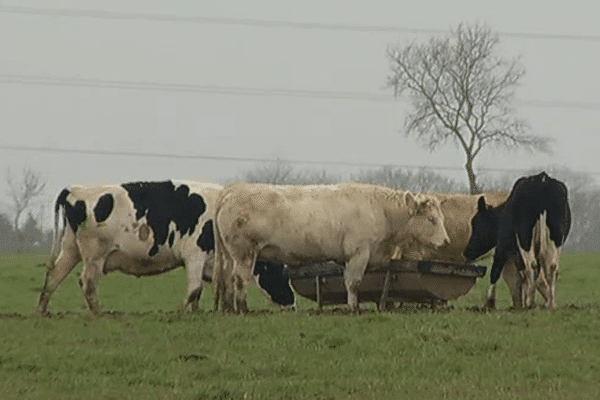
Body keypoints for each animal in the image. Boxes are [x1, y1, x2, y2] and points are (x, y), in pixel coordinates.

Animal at [37, 181, 296, 316]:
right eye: (282, 276)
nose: (293, 304)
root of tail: (76, 190)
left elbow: (200, 291)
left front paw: (195, 311)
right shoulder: (195, 254)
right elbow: (194, 288)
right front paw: (181, 311)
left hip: (71, 249)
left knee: (53, 277)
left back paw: (41, 310)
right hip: (94, 255)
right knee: (88, 282)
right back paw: (100, 312)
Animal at [464, 172, 572, 310]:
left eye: (476, 223)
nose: (467, 251)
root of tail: (543, 179)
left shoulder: (502, 247)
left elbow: (495, 272)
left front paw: (489, 303)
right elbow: (522, 275)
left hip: (524, 238)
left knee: (532, 266)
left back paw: (531, 303)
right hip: (558, 235)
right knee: (551, 265)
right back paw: (550, 304)